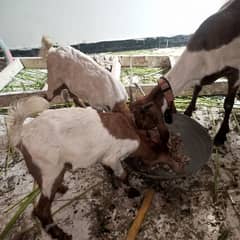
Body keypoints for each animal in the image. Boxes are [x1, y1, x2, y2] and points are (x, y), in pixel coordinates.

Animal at [7, 96, 180, 240]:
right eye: (167, 153)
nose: (178, 165)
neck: (134, 133)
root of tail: (21, 135)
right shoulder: (114, 156)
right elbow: (123, 174)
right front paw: (132, 191)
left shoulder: (104, 158)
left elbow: (110, 171)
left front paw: (114, 184)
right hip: (50, 170)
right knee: (41, 210)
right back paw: (61, 234)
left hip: (45, 170)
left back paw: (62, 188)